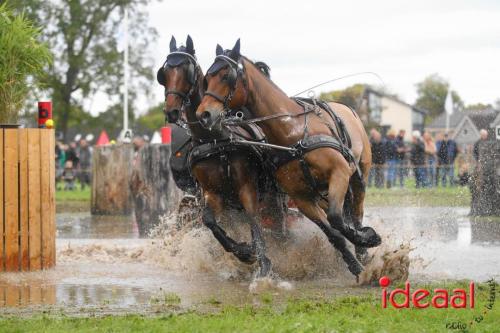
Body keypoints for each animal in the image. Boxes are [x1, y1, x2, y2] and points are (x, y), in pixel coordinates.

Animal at [156, 36, 284, 276]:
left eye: (187, 70)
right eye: (164, 74)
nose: (172, 111)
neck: (215, 141)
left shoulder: (247, 187)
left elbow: (254, 220)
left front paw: (262, 261)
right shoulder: (211, 193)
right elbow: (209, 222)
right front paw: (244, 252)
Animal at [197, 39, 380, 278]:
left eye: (226, 76)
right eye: (206, 78)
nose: (203, 115)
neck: (292, 134)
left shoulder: (339, 172)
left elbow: (336, 218)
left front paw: (366, 239)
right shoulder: (302, 198)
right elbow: (334, 233)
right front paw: (354, 266)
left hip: (359, 176)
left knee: (356, 213)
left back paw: (362, 247)